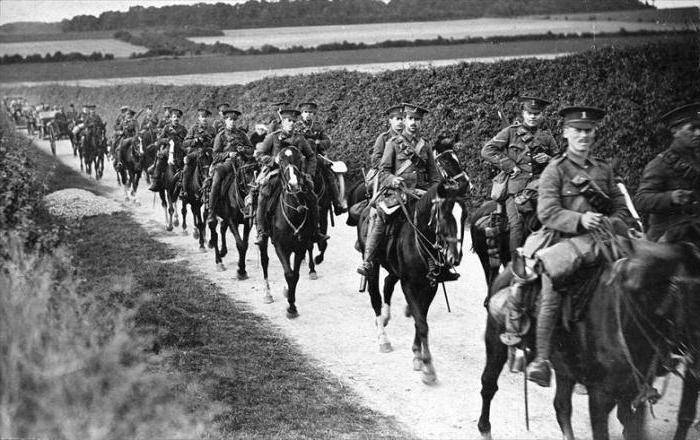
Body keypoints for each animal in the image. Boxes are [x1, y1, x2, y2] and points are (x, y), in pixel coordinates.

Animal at [478, 239, 700, 440]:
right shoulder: (600, 397)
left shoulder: (634, 394)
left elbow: (634, 429)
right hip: (496, 343)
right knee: (489, 383)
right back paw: (485, 428)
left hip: (564, 369)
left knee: (561, 407)